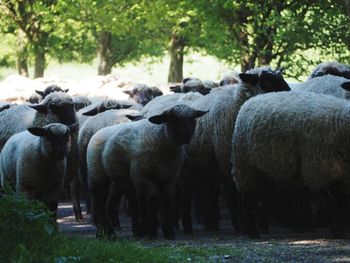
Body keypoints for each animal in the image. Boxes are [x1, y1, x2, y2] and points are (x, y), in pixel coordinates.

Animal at [87, 104, 208, 240]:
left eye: (192, 119)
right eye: (173, 119)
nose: (187, 137)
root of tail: (97, 133)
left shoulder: (169, 178)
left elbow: (167, 200)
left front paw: (168, 233)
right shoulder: (143, 177)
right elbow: (152, 198)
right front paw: (151, 232)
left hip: (121, 179)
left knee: (110, 203)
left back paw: (105, 233)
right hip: (97, 174)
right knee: (98, 201)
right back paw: (107, 233)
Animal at [182, 67, 292, 234]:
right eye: (267, 80)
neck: (235, 109)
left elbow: (260, 192)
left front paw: (261, 224)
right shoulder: (228, 162)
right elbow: (234, 194)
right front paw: (240, 223)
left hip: (208, 164)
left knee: (209, 190)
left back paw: (211, 223)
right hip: (191, 166)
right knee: (188, 193)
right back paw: (191, 225)